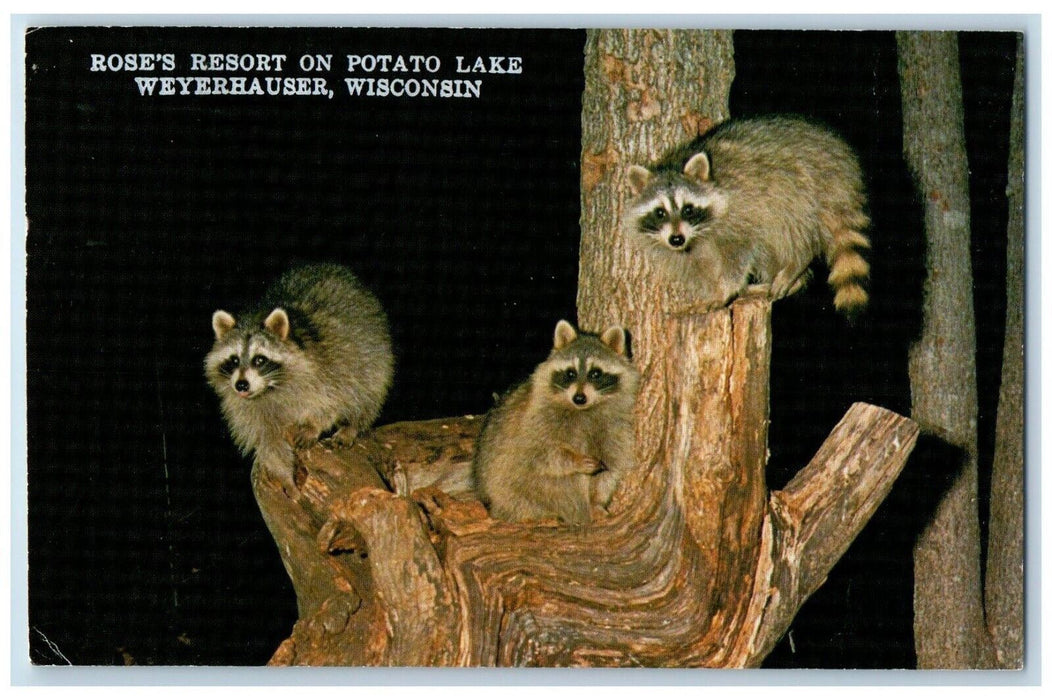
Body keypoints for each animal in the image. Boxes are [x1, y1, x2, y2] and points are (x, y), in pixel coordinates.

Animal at [204, 263, 394, 493]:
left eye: (259, 360)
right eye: (233, 360)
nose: (241, 385)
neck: (270, 388)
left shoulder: (326, 368)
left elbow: (331, 400)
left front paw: (314, 425)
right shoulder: (248, 410)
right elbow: (270, 442)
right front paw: (286, 477)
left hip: (371, 353)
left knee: (366, 391)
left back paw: (352, 425)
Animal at [473, 320, 639, 526]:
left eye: (595, 374)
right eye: (570, 373)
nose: (579, 398)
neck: (584, 410)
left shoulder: (616, 428)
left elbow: (611, 468)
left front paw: (596, 502)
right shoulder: (535, 420)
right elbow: (540, 453)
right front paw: (574, 460)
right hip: (504, 484)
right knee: (517, 491)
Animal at [624, 115, 871, 316]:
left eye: (688, 209)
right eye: (660, 212)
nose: (677, 239)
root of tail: (844, 165)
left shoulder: (739, 213)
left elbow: (739, 253)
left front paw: (725, 290)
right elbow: (700, 264)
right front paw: (713, 289)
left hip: (802, 188)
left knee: (789, 228)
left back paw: (797, 262)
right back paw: (790, 281)